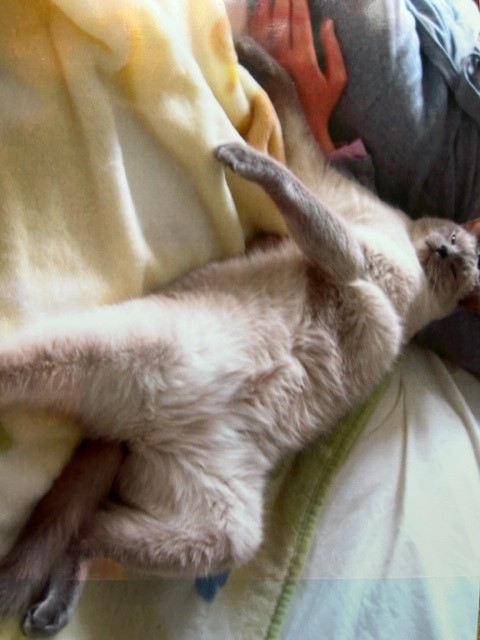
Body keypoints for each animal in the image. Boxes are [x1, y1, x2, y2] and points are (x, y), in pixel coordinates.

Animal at [0, 38, 479, 637]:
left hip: (220, 527)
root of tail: (139, 430)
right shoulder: (340, 216)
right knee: (88, 523)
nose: (448, 252)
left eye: (461, 264)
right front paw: (255, 51)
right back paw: (51, 607)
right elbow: (292, 111)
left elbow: (287, 170)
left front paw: (239, 151)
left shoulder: (346, 252)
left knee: (89, 529)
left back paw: (51, 608)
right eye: (458, 245)